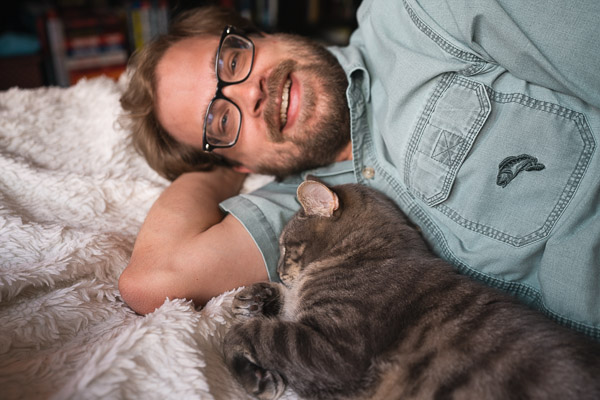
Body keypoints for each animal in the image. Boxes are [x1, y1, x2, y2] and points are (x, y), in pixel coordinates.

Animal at [223, 180, 600, 400]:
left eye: (286, 247)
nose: (278, 269)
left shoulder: (333, 349)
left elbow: (248, 333)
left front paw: (253, 373)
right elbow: (281, 304)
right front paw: (253, 297)